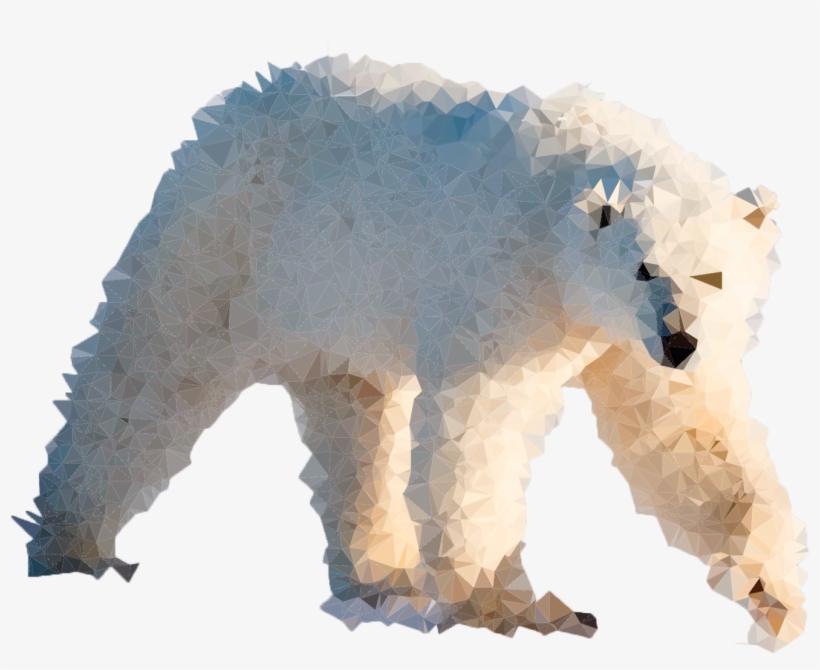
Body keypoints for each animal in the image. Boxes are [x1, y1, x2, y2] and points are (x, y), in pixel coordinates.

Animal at [12, 54, 806, 650]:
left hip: (338, 301)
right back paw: (73, 548)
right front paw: (518, 612)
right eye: (644, 267)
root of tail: (234, 101)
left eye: (714, 274)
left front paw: (773, 594)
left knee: (356, 422)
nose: (680, 340)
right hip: (226, 238)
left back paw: (381, 575)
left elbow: (685, 438)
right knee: (148, 367)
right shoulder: (511, 284)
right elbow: (480, 429)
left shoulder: (617, 337)